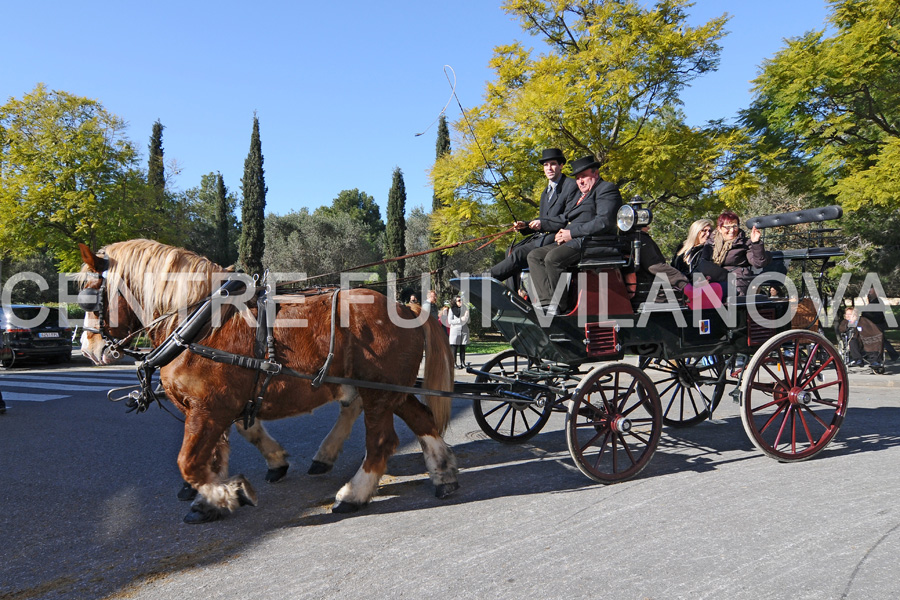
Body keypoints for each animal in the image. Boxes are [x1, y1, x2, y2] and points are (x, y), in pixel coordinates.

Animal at [76, 238, 458, 520]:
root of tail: (406, 308)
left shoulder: (210, 408)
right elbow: (216, 455)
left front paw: (228, 493)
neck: (198, 322)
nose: (88, 348)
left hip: (378, 393)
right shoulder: (215, 409)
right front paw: (212, 498)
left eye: (89, 296)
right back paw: (443, 473)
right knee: (421, 419)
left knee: (381, 441)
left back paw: (354, 493)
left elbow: (190, 462)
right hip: (391, 389)